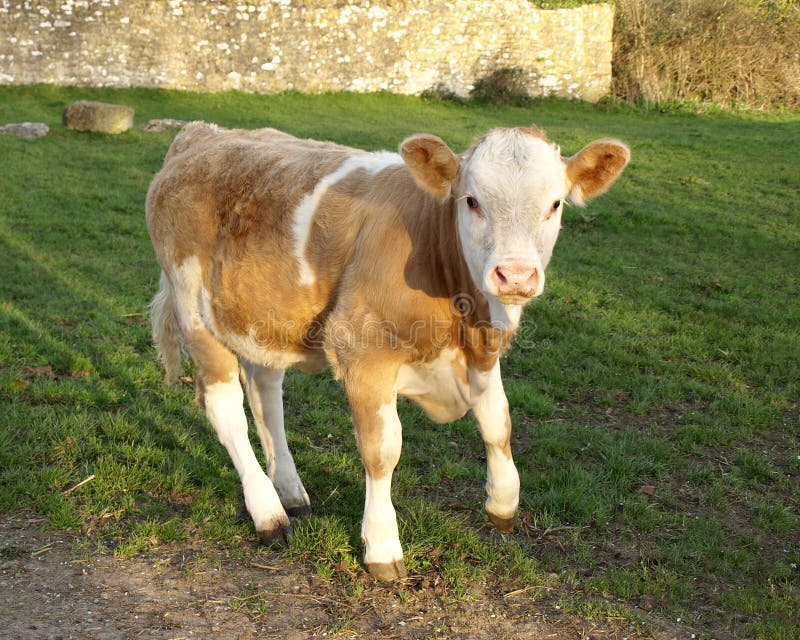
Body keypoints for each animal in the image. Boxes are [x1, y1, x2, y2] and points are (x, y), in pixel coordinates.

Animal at [146, 121, 629, 580]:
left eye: (555, 204)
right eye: (471, 201)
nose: (515, 275)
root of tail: (201, 134)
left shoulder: (482, 350)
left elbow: (498, 423)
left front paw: (503, 503)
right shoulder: (362, 350)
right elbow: (382, 451)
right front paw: (382, 547)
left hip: (261, 317)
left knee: (266, 393)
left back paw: (290, 491)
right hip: (194, 309)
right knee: (225, 408)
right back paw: (269, 514)